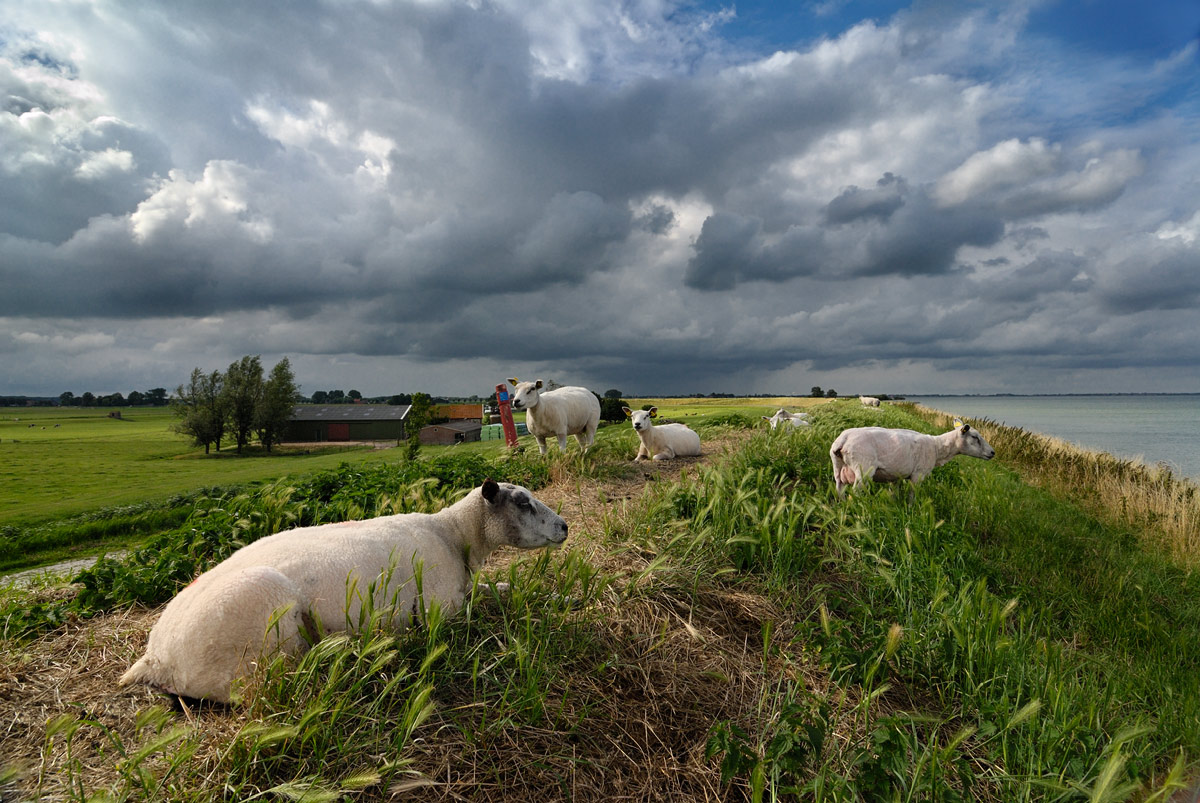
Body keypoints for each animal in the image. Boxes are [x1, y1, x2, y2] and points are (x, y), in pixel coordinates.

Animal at [119, 475, 568, 700]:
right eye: (523, 503)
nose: (565, 526)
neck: (454, 535)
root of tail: (156, 658)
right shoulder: (443, 609)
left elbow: (500, 588)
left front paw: (555, 595)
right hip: (260, 637)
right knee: (266, 689)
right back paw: (343, 653)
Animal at [830, 420, 998, 494]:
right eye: (975, 437)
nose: (992, 453)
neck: (937, 448)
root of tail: (843, 439)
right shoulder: (919, 474)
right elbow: (912, 496)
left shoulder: (895, 476)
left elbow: (894, 494)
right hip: (863, 470)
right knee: (855, 493)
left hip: (838, 468)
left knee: (839, 489)